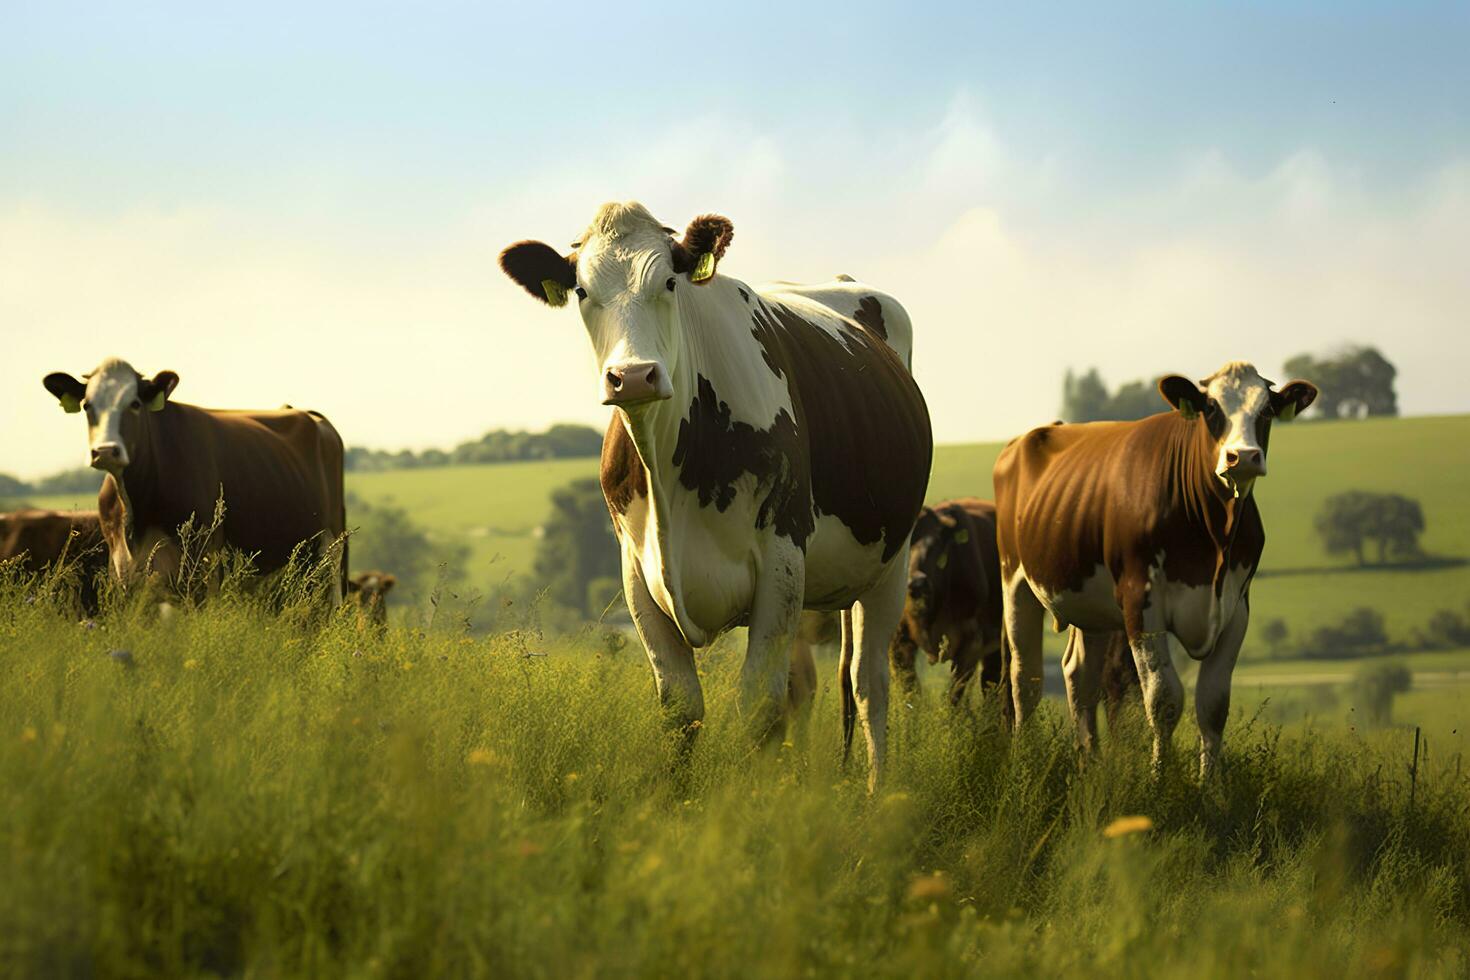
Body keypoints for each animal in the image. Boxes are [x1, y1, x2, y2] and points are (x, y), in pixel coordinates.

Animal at [42, 359, 346, 602]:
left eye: (135, 404)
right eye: (87, 405)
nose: (105, 451)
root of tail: (308, 415)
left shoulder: (202, 558)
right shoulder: (122, 569)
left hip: (332, 548)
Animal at [493, 202, 929, 787]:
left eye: (670, 281)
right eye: (582, 290)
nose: (633, 376)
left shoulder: (782, 560)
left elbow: (758, 710)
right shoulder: (636, 572)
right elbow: (682, 709)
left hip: (891, 563)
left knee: (868, 685)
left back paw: (877, 794)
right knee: (809, 687)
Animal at [887, 502, 1005, 708]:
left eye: (935, 547)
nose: (916, 583)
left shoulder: (972, 642)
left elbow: (954, 693)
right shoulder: (898, 640)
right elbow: (909, 688)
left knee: (991, 680)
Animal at [987, 362, 1323, 781]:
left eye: (1266, 411)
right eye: (1211, 409)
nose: (1242, 457)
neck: (1214, 533)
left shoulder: (1236, 608)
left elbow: (1213, 704)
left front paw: (1210, 787)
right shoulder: (1141, 602)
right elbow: (1164, 699)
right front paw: (1160, 781)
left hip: (1089, 603)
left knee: (1079, 675)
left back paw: (1090, 764)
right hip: (1015, 581)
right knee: (1025, 677)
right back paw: (1023, 763)